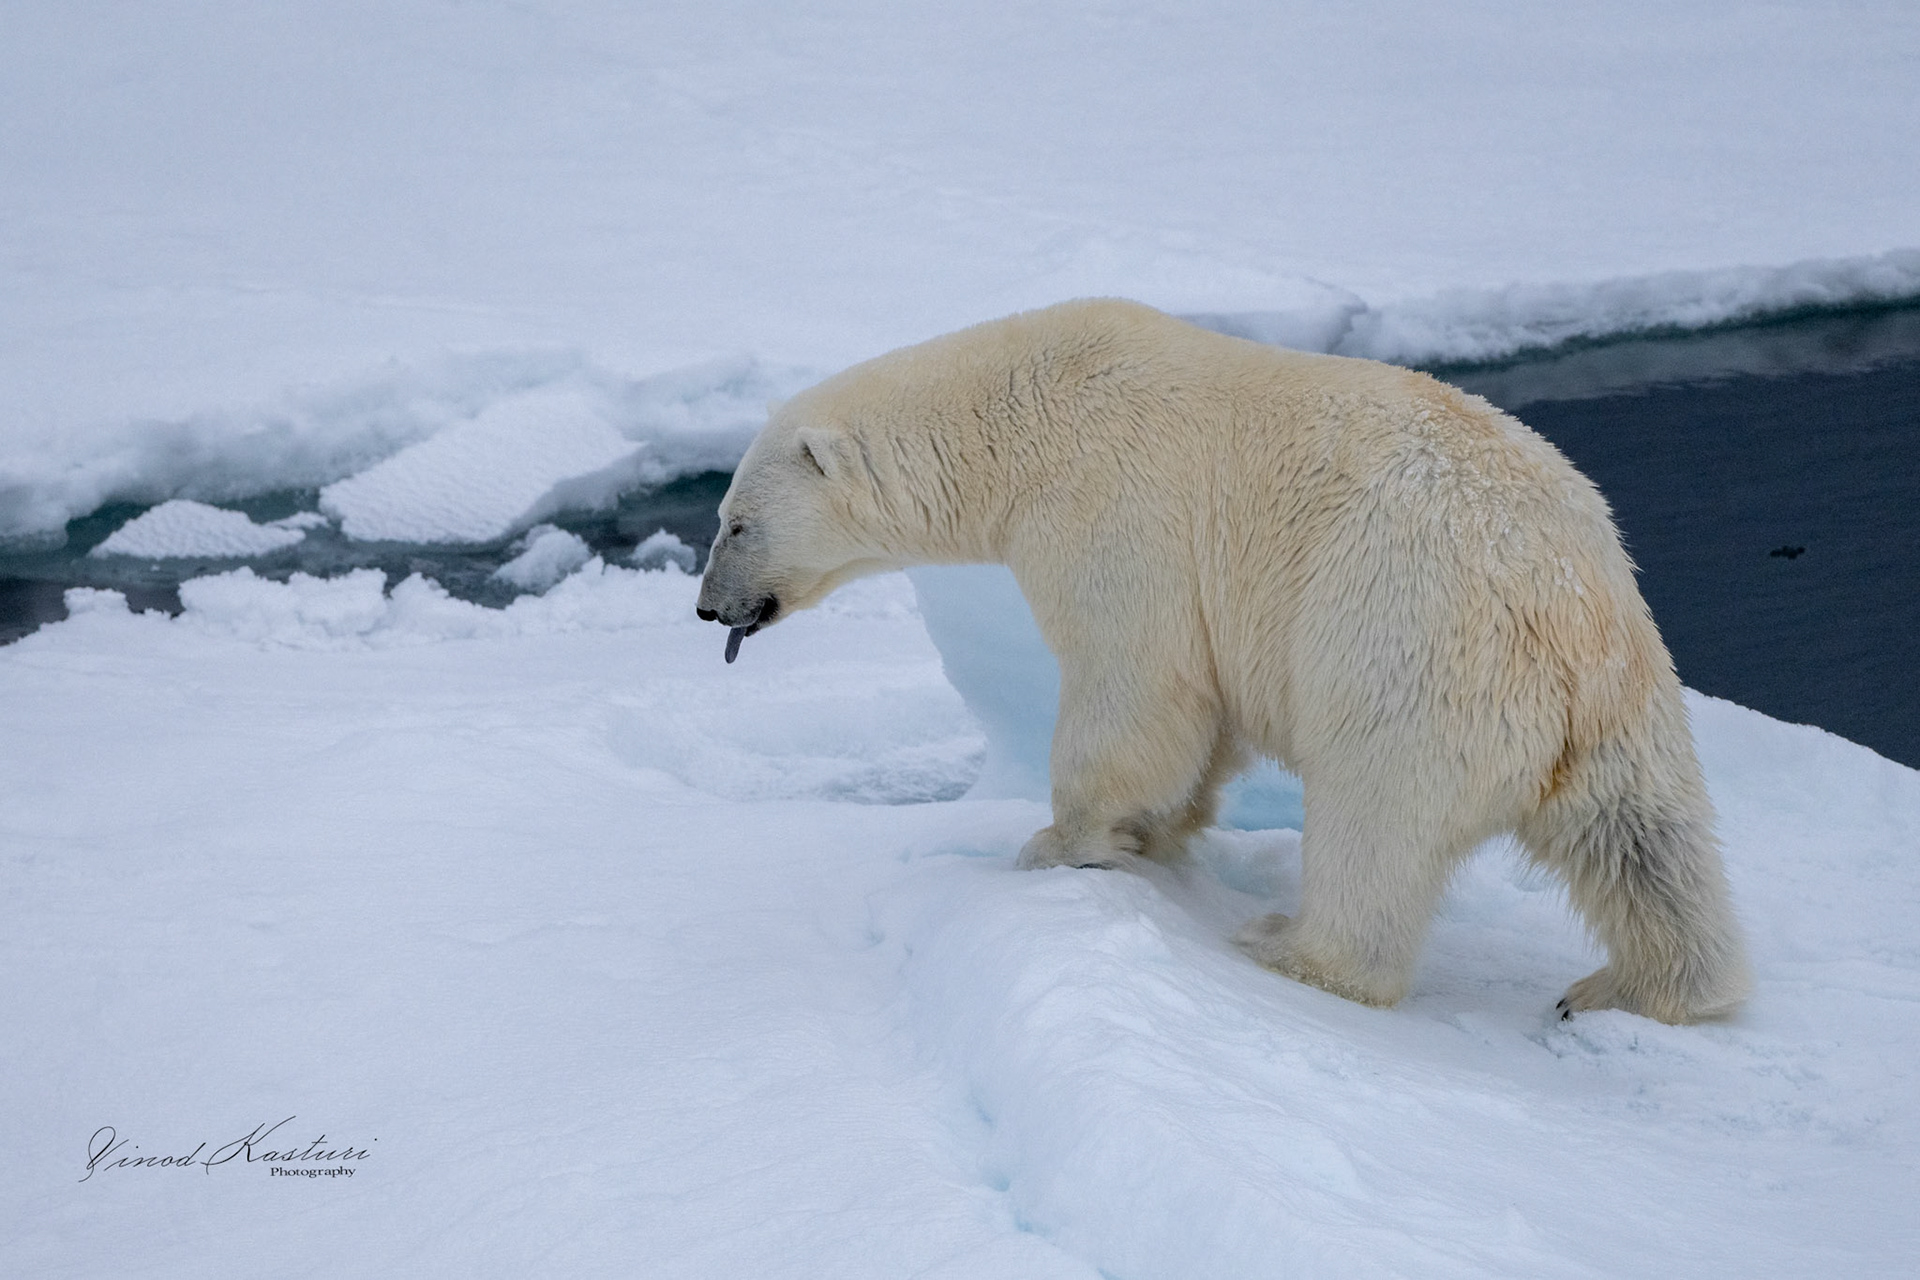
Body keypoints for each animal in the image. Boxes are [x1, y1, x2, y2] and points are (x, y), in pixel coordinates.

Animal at [696, 299, 1750, 1024]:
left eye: (736, 522)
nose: (708, 607)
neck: (1027, 407)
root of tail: (1559, 620)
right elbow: (1199, 727)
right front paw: (1158, 832)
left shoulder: (1113, 508)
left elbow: (1134, 682)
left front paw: (1062, 843)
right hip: (1627, 691)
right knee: (1652, 848)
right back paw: (1632, 988)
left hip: (1405, 654)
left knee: (1373, 824)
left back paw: (1288, 946)